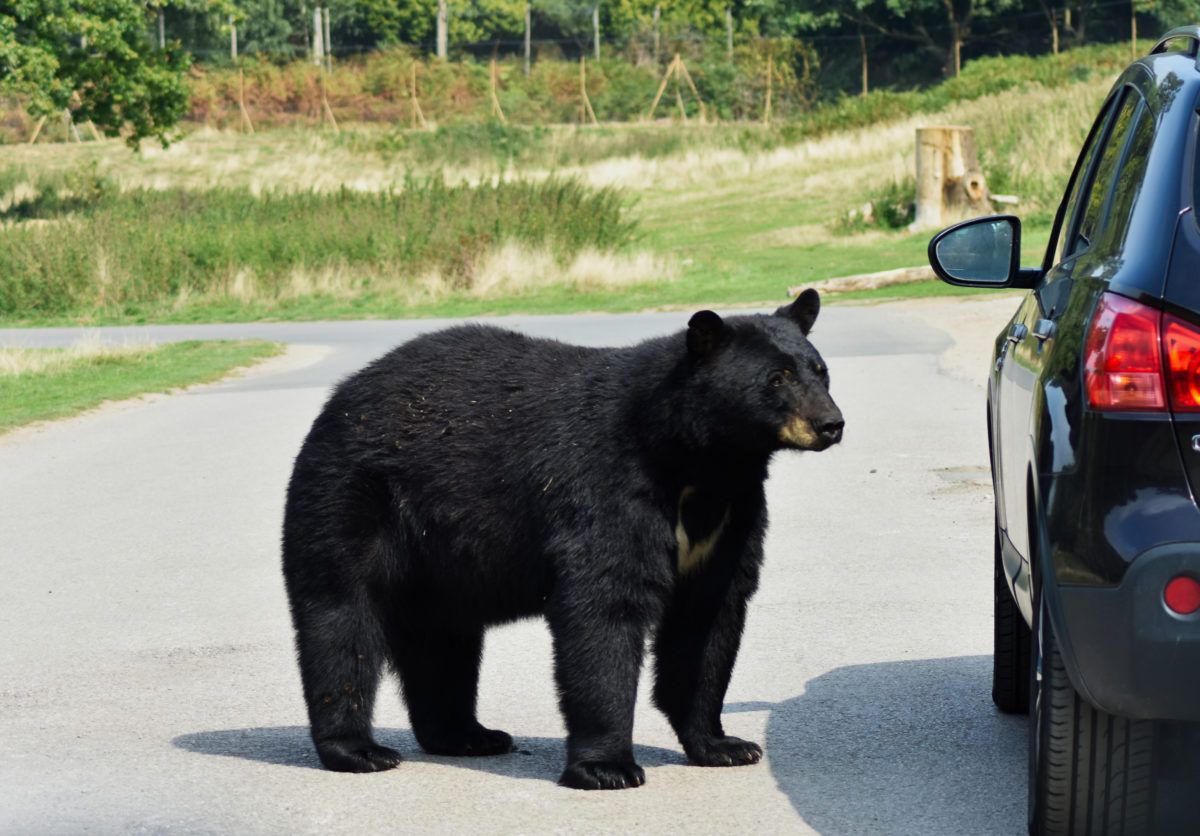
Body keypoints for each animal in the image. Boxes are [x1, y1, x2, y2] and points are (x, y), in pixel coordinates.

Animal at [281, 288, 844, 790]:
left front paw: (723, 745)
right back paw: (359, 751)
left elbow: (708, 619)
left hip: (440, 562)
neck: (699, 463)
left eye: (819, 370)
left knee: (443, 640)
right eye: (775, 378)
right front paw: (608, 768)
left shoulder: (730, 516)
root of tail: (340, 397)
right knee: (341, 621)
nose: (830, 424)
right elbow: (604, 609)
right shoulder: (608, 486)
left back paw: (468, 735)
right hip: (349, 497)